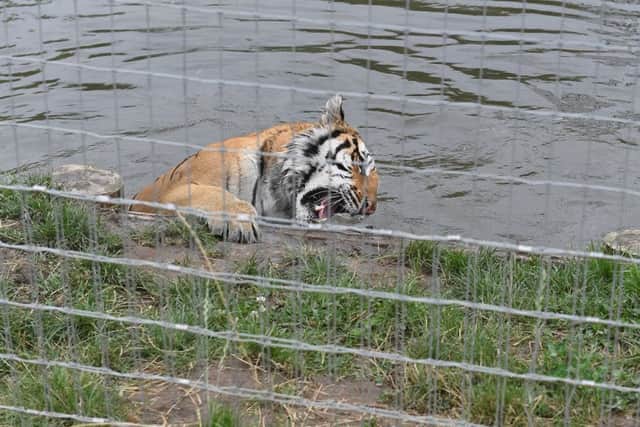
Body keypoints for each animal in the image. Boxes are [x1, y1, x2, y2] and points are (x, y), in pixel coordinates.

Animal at [129, 95, 379, 243]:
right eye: (360, 165)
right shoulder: (175, 189)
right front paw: (240, 223)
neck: (275, 194)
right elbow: (214, 194)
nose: (371, 208)